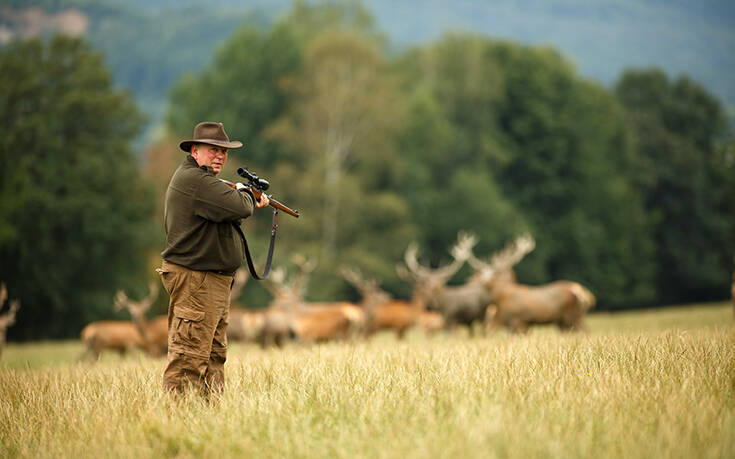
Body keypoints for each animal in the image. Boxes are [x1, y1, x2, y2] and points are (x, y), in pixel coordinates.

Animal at [468, 237, 600, 334]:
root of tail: (586, 295)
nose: (470, 280)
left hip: (572, 316)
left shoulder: (518, 320)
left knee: (585, 331)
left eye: (493, 273)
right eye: (478, 273)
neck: (501, 298)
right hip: (564, 321)